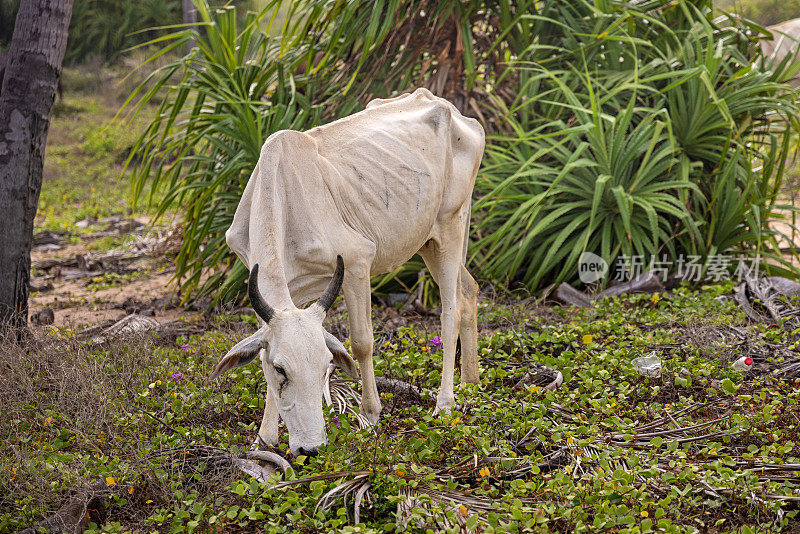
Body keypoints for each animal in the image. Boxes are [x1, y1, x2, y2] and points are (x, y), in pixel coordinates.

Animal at [209, 90, 484, 458]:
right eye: (280, 369)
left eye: (327, 365)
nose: (311, 449)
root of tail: (453, 111)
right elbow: (264, 348)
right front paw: (265, 438)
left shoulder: (356, 263)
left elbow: (362, 342)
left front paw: (371, 413)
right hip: (427, 241)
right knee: (469, 290)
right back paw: (471, 382)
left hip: (451, 226)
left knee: (449, 313)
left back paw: (445, 402)